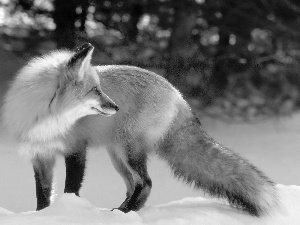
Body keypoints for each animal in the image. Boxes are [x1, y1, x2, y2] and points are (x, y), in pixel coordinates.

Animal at [1, 42, 278, 216]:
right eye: (95, 91)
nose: (115, 106)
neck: (46, 121)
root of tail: (178, 95)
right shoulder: (41, 155)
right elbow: (43, 194)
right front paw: (41, 215)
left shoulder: (76, 149)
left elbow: (71, 188)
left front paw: (68, 212)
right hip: (117, 155)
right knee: (133, 185)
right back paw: (122, 211)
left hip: (128, 150)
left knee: (146, 183)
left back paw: (125, 212)